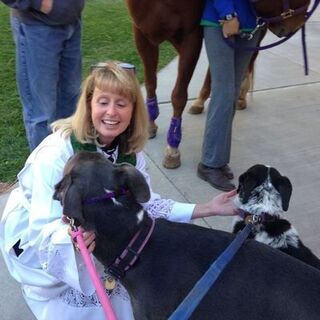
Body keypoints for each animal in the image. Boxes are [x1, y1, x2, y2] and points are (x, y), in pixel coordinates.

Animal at [125, 0, 310, 169]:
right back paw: (200, 101)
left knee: (248, 61)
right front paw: (150, 124)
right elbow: (151, 83)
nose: (296, 25)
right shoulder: (142, 34)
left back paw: (240, 98)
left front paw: (172, 149)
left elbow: (179, 96)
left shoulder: (192, 36)